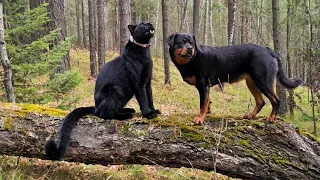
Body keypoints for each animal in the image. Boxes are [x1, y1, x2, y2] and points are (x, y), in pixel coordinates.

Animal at [168, 33, 302, 124]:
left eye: (191, 43)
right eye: (181, 42)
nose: (190, 48)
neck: (193, 59)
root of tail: (268, 50)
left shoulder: (204, 85)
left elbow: (202, 104)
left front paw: (200, 118)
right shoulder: (204, 87)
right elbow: (207, 102)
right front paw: (207, 112)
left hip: (264, 81)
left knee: (276, 100)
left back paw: (271, 118)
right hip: (252, 82)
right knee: (261, 101)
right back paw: (251, 116)